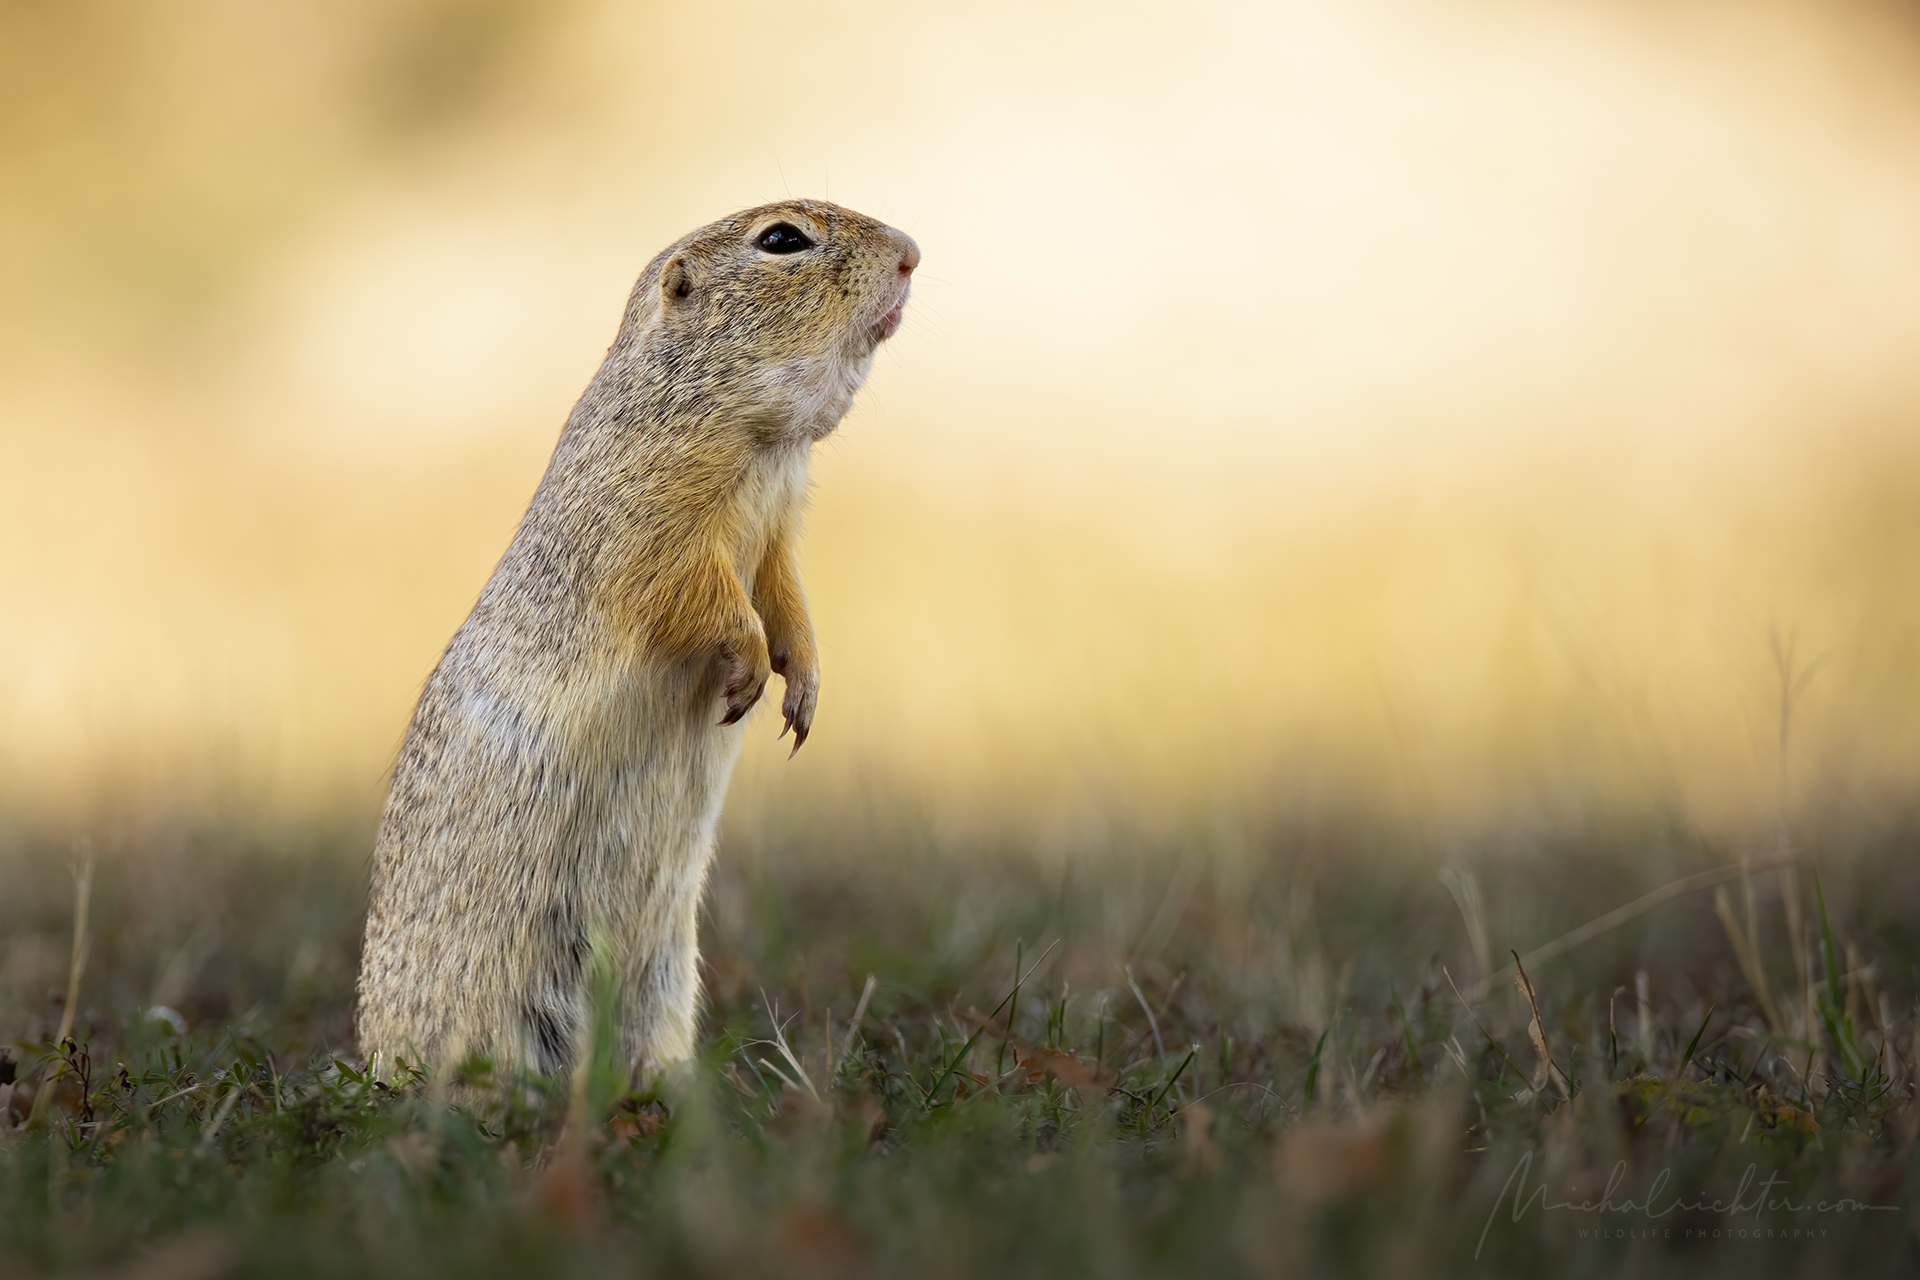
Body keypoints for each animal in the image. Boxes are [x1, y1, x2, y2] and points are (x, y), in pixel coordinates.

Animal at [355, 200, 919, 1078]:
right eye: (782, 240)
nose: (913, 254)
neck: (764, 446)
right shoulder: (655, 525)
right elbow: (699, 597)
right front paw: (749, 668)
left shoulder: (779, 534)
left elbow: (787, 599)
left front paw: (805, 685)